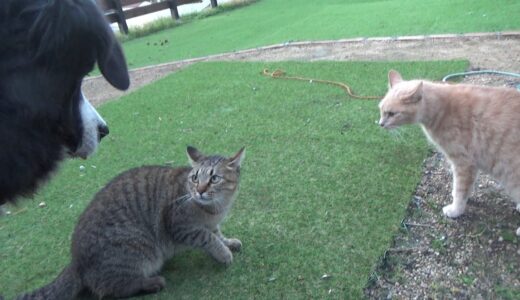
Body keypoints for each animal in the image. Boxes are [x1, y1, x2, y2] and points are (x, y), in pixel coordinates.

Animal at [18, 146, 246, 298]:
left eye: (214, 178)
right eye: (195, 178)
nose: (199, 190)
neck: (215, 208)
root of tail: (76, 262)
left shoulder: (213, 224)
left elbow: (217, 234)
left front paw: (228, 243)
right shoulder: (181, 227)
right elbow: (208, 238)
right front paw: (223, 254)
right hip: (140, 247)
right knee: (109, 289)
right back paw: (151, 283)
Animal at [380, 69, 520, 236]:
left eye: (392, 113)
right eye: (381, 110)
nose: (380, 124)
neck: (441, 109)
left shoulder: (463, 162)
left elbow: (459, 189)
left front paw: (455, 210)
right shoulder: (470, 164)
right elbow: (464, 187)